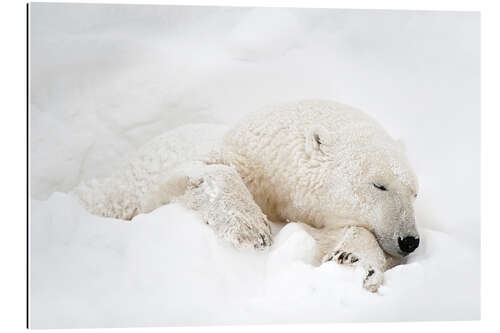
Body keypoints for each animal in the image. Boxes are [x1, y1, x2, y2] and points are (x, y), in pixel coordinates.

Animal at [72, 98, 420, 290]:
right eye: (379, 185)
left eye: (414, 193)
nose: (410, 240)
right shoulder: (233, 160)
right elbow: (199, 173)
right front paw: (250, 229)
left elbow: (332, 233)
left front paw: (355, 261)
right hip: (122, 186)